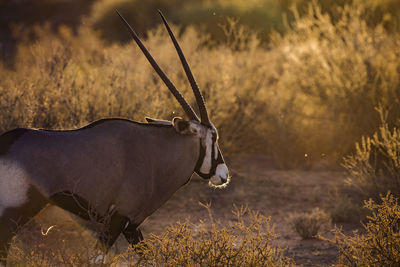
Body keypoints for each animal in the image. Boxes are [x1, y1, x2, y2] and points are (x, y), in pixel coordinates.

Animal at [0, 11, 231, 266]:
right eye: (214, 136)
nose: (224, 175)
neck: (156, 151)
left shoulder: (132, 225)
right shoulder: (119, 218)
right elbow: (98, 259)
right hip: (14, 215)